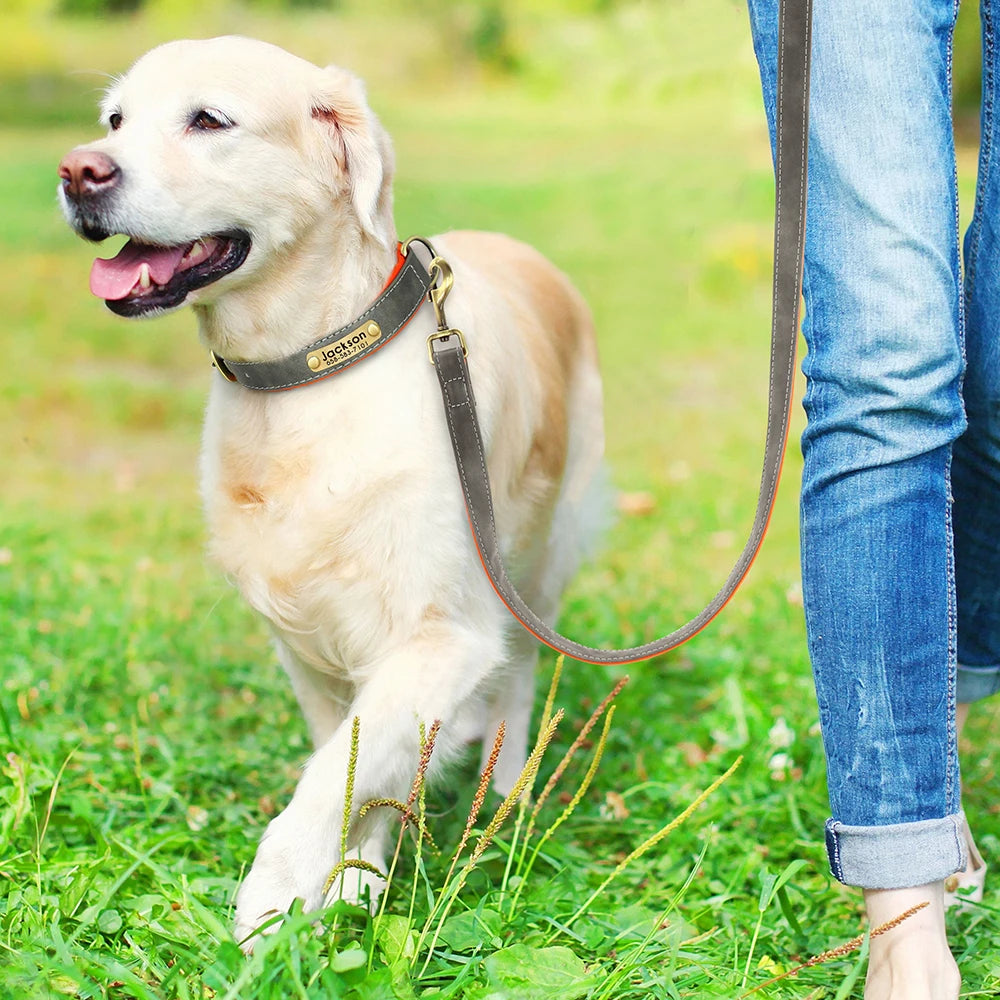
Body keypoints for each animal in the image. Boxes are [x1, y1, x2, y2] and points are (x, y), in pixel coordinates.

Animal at [58, 37, 604, 944]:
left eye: (209, 120)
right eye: (115, 120)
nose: (77, 171)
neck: (305, 375)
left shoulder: (443, 631)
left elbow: (330, 779)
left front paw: (272, 904)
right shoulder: (307, 639)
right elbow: (353, 761)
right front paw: (357, 873)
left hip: (536, 560)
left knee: (524, 673)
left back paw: (508, 790)